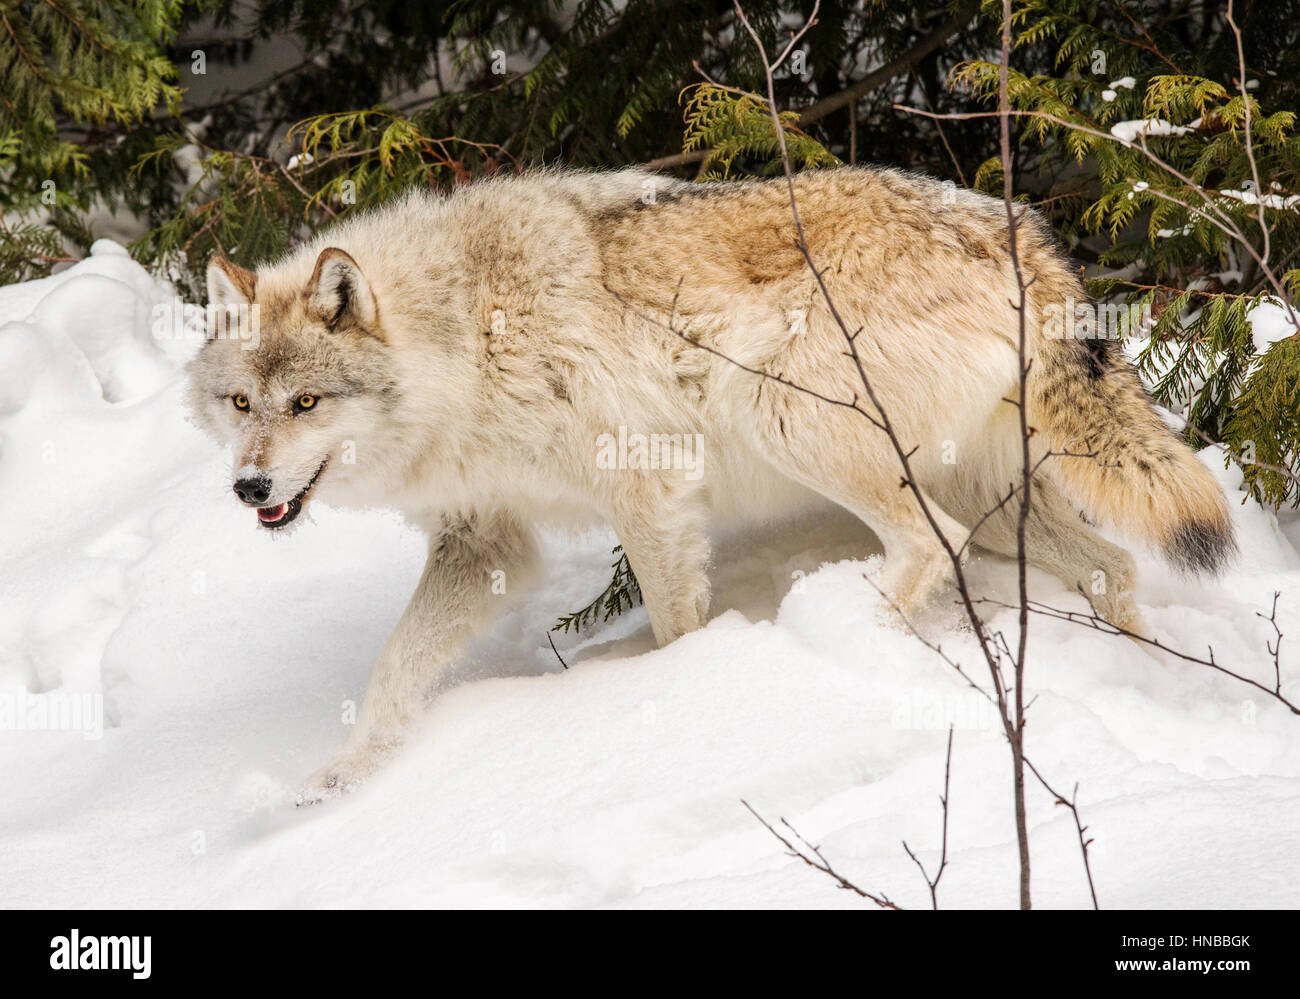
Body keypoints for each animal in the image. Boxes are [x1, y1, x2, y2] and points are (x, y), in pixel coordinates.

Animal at [187, 166, 1234, 801]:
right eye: (241, 403)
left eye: (307, 401)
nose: (249, 487)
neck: (466, 334)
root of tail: (1016, 228)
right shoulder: (486, 539)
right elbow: (394, 671)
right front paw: (336, 785)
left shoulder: (644, 487)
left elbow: (673, 623)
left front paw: (690, 692)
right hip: (997, 494)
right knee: (1109, 569)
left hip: (786, 413)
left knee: (932, 541)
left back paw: (833, 632)